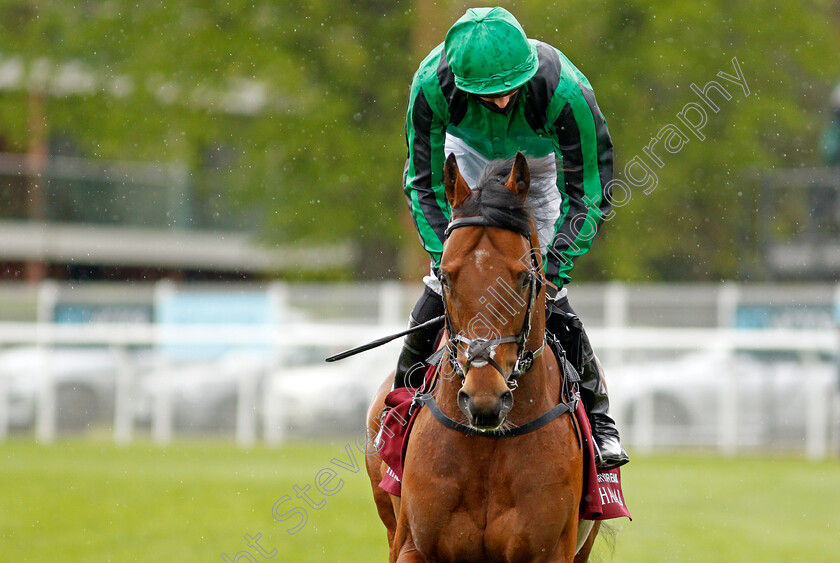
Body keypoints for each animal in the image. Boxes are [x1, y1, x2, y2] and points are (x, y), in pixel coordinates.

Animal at [364, 152, 600, 560]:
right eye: (445, 277)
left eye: (525, 278)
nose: (483, 400)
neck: (489, 444)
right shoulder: (414, 545)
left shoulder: (551, 550)